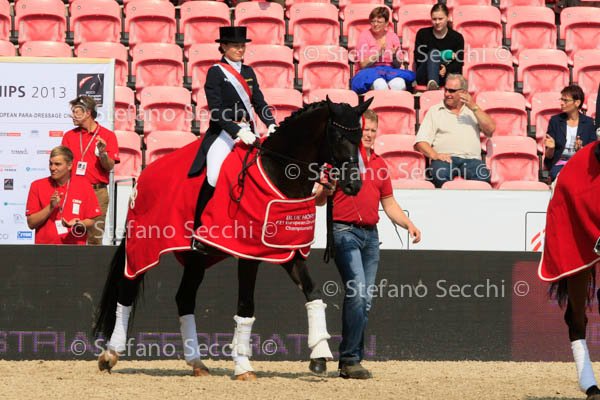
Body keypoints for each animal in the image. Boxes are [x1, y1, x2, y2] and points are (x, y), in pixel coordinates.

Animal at [93, 97, 373, 380]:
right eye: (338, 135)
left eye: (359, 136)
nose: (354, 185)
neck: (278, 172)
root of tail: (143, 177)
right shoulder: (248, 254)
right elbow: (246, 306)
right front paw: (243, 366)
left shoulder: (287, 251)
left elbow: (313, 293)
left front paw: (319, 356)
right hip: (144, 247)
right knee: (126, 291)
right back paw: (110, 354)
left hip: (195, 259)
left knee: (184, 299)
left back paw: (197, 363)